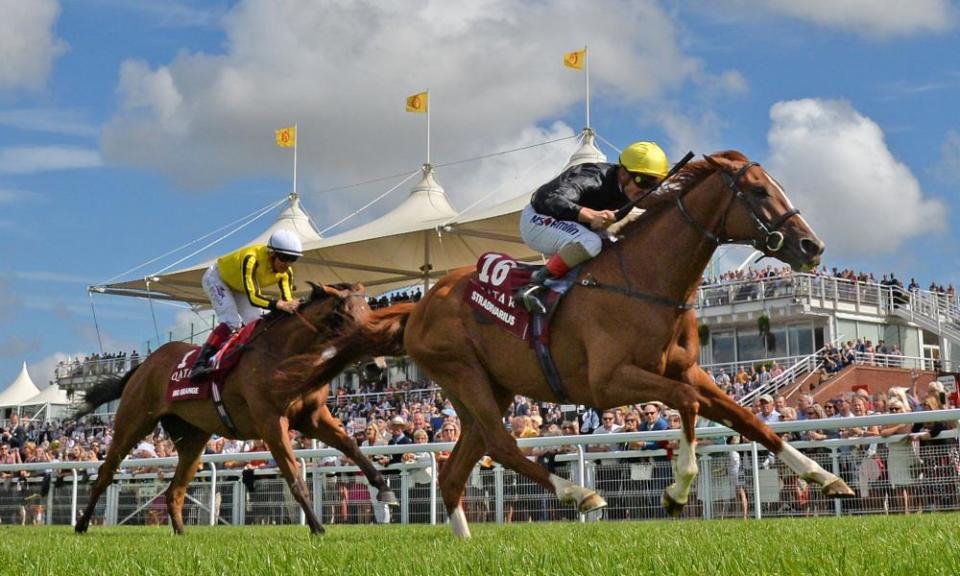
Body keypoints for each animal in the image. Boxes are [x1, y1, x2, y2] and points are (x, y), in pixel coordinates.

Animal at [73, 284, 400, 536]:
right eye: (345, 318)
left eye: (372, 314)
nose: (376, 367)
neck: (288, 355)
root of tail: (143, 366)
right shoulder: (271, 422)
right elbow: (295, 477)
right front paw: (318, 527)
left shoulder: (313, 417)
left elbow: (351, 446)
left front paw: (385, 490)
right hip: (134, 421)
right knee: (106, 472)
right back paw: (81, 525)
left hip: (193, 441)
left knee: (174, 490)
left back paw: (180, 532)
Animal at [278, 151, 856, 536]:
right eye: (757, 191)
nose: (812, 245)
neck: (645, 280)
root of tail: (420, 303)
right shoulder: (609, 382)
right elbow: (690, 407)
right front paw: (676, 491)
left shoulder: (685, 370)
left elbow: (746, 418)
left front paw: (825, 478)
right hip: (463, 374)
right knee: (502, 447)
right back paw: (582, 494)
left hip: (488, 388)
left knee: (458, 468)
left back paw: (465, 542)